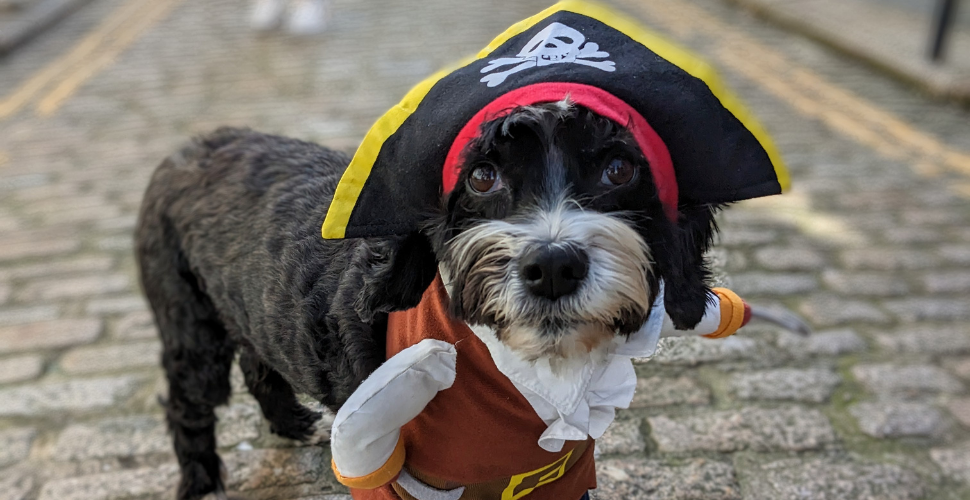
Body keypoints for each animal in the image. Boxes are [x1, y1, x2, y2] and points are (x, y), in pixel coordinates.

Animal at [132, 96, 724, 496]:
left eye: (618, 169)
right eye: (482, 177)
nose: (554, 266)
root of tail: (183, 151)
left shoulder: (558, 474)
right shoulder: (384, 464)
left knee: (259, 361)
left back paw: (290, 422)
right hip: (190, 323)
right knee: (187, 402)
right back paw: (202, 482)